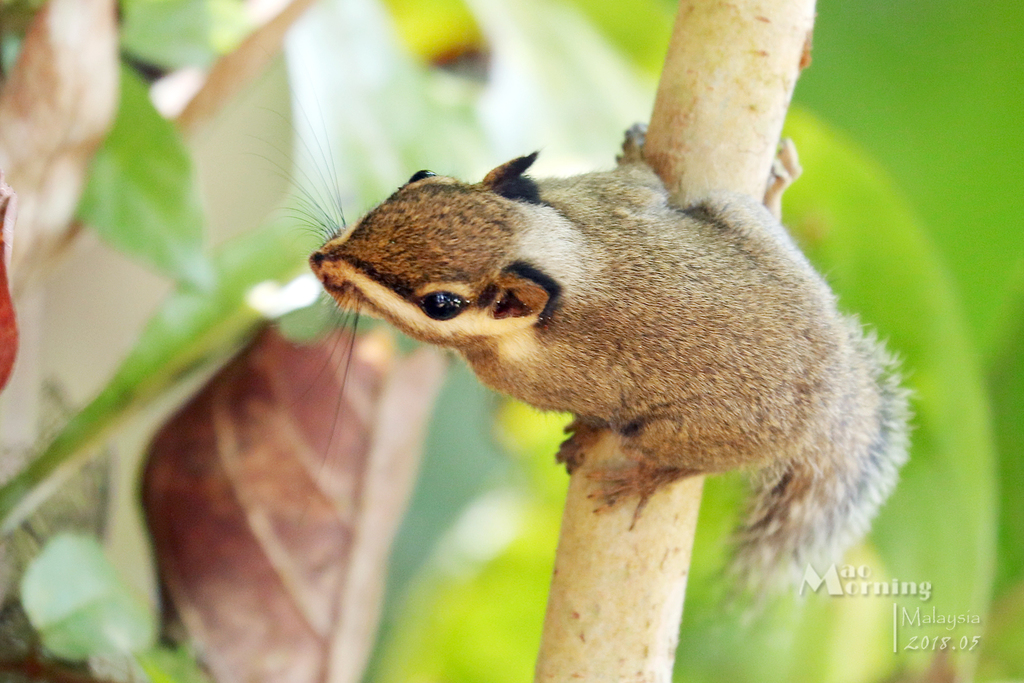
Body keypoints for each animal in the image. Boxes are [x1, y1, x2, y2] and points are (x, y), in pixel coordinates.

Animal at [308, 125, 910, 588]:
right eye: (419, 177)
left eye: (441, 304)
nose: (319, 261)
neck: (562, 254)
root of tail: (837, 391)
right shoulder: (604, 197)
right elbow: (644, 182)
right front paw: (636, 150)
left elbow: (596, 414)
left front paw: (584, 437)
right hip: (734, 213)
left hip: (678, 433)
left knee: (683, 464)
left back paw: (642, 480)